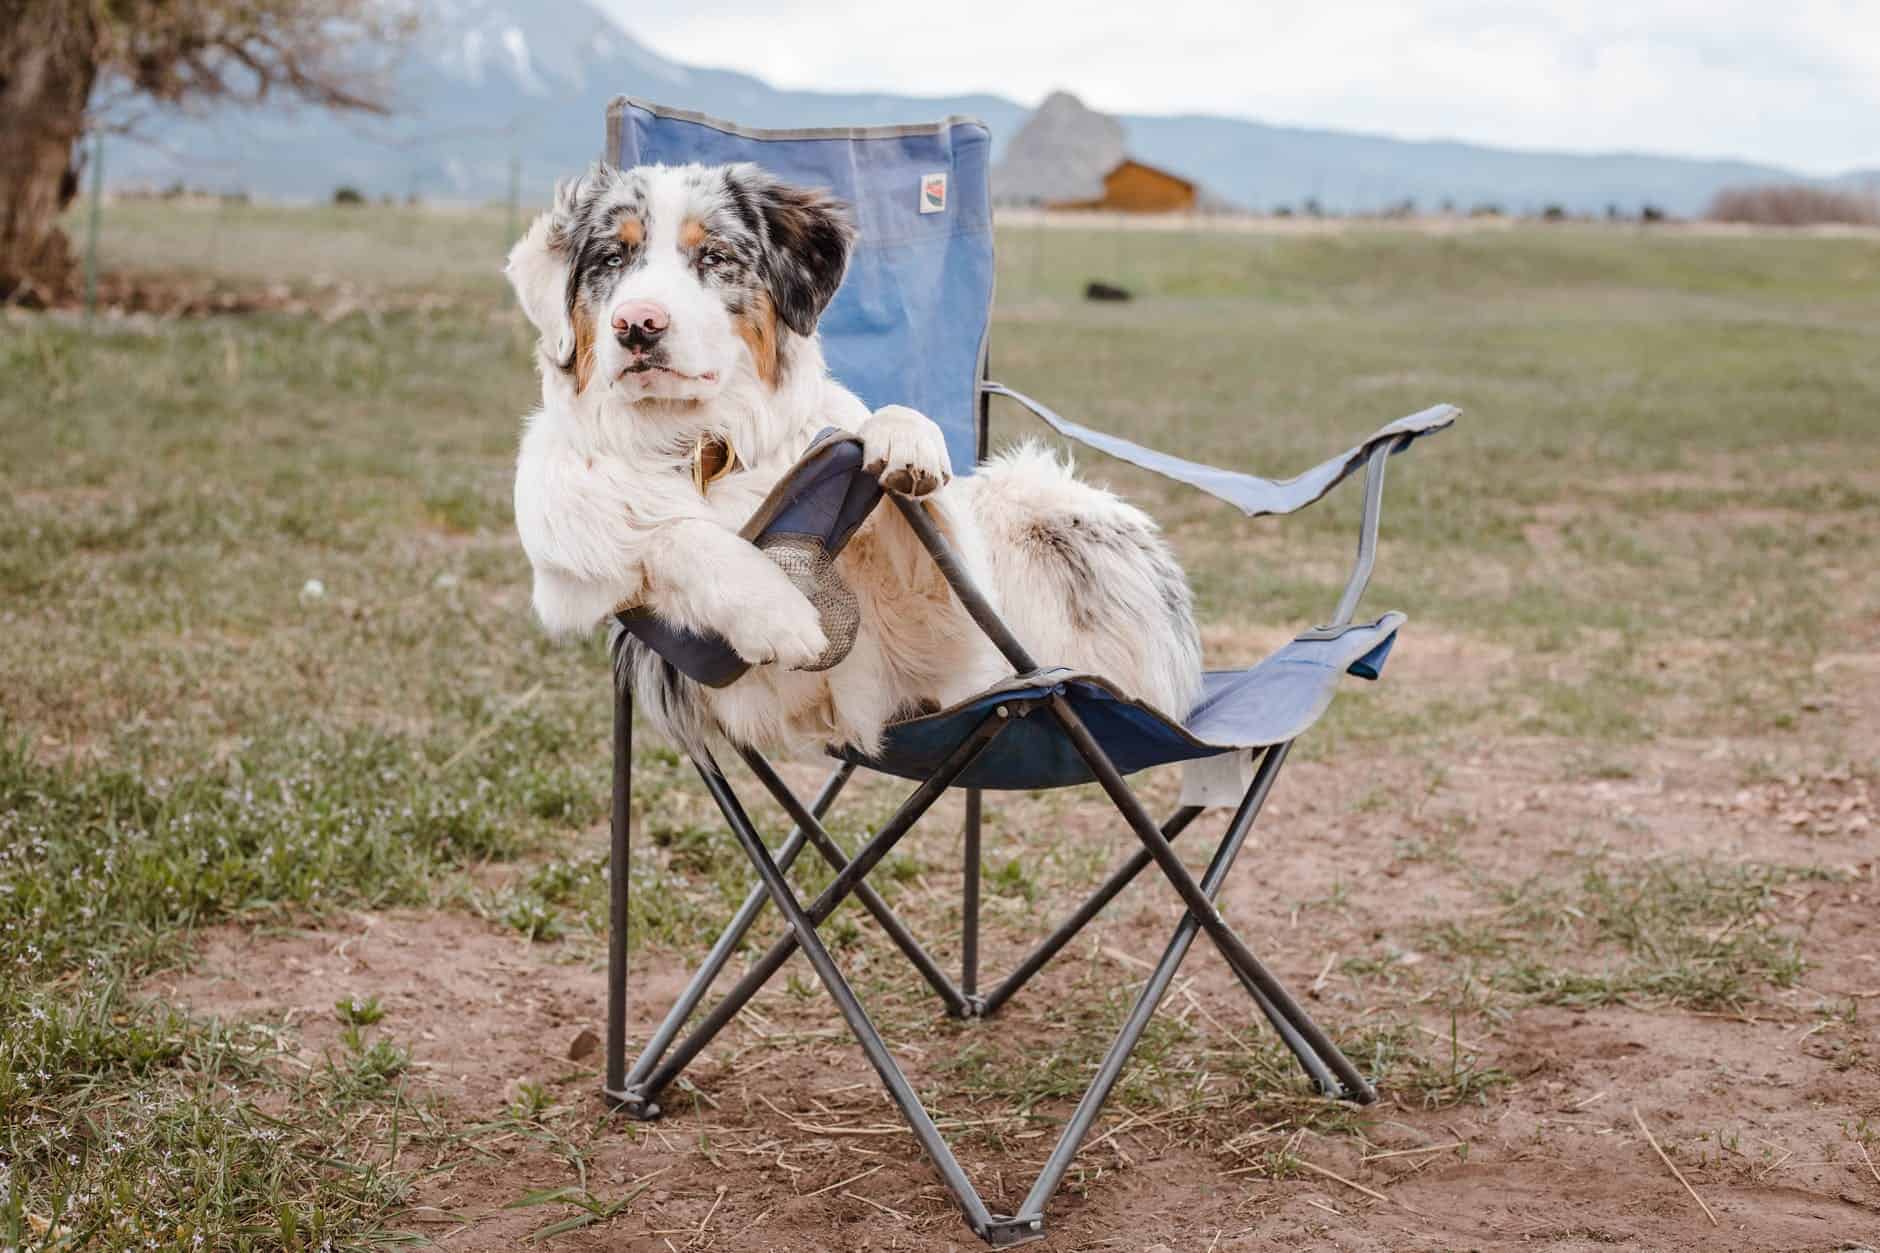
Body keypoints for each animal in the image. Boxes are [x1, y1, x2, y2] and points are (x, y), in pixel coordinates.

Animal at [503, 160, 1203, 756]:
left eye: (715, 256)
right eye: (612, 258)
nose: (637, 324)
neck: (703, 448)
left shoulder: (940, 655)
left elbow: (896, 471)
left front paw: (904, 438)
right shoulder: (573, 588)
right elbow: (674, 534)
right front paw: (777, 609)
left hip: (1036, 499)